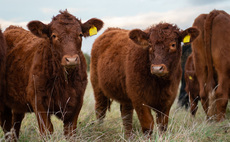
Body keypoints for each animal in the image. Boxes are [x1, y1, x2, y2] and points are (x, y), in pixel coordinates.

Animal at [0, 10, 103, 140]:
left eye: (80, 34)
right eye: (54, 35)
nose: (71, 59)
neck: (64, 82)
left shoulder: (77, 102)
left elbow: (70, 133)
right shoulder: (38, 102)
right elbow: (47, 131)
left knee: (15, 125)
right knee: (7, 127)